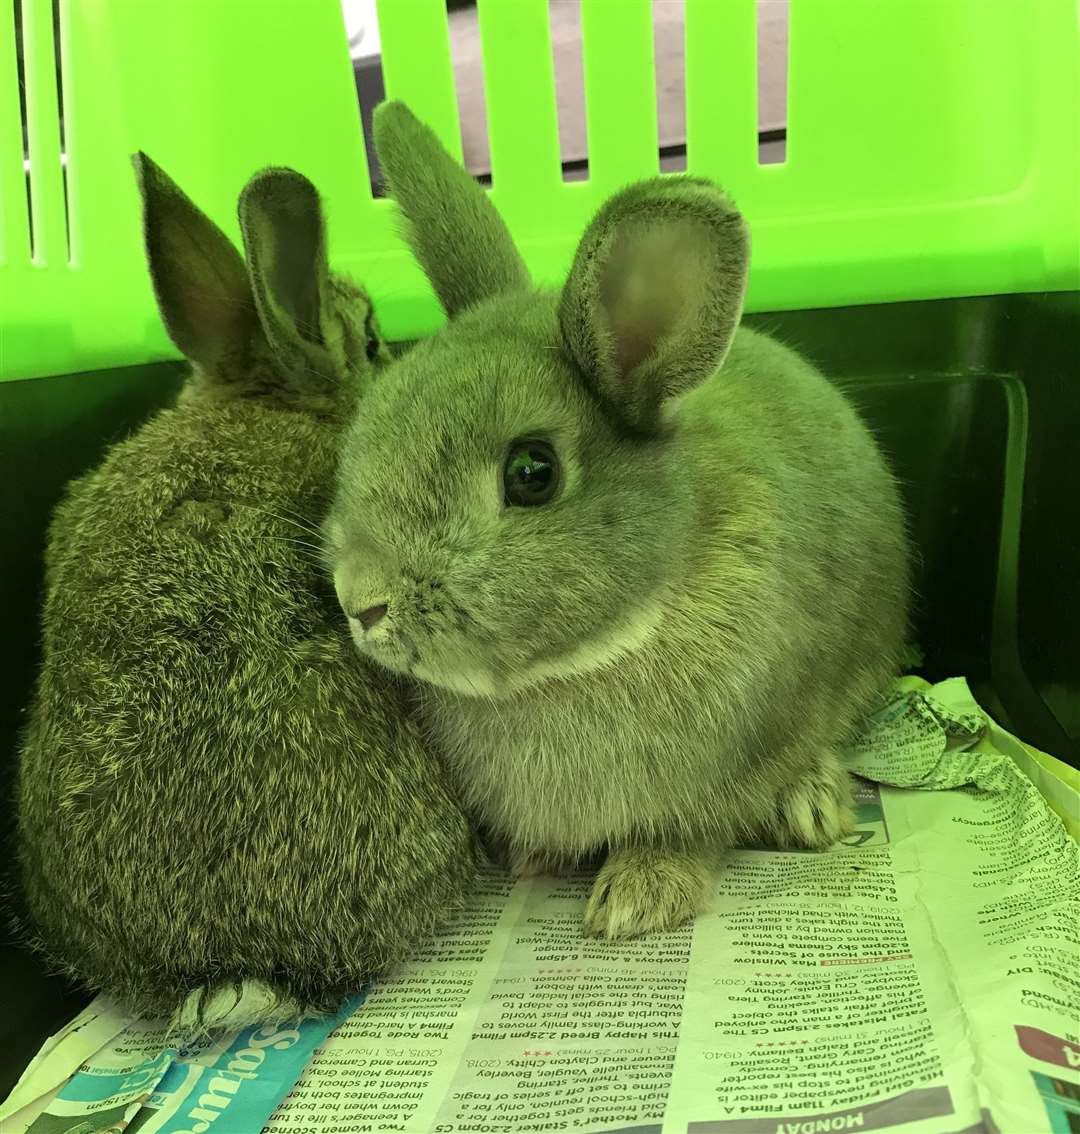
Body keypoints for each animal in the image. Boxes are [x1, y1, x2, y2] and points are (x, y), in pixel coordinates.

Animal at [322, 104, 912, 938]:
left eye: (531, 473)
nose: (359, 602)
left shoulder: (727, 772)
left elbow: (689, 833)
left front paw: (638, 900)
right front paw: (533, 858)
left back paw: (811, 804)